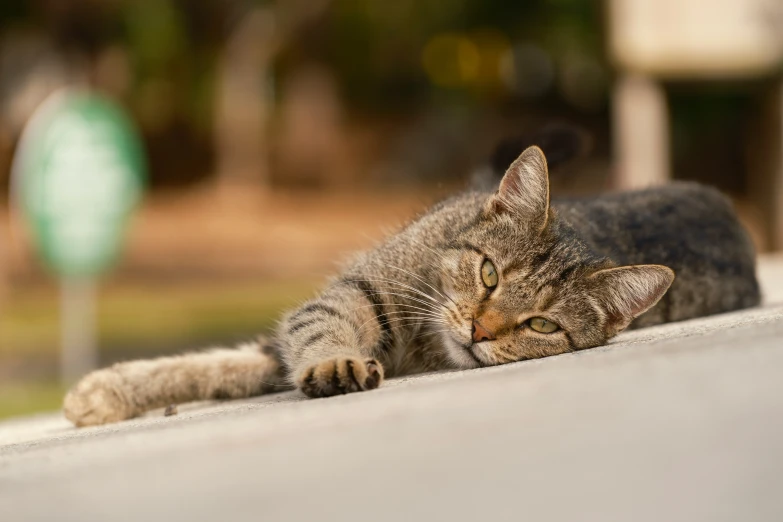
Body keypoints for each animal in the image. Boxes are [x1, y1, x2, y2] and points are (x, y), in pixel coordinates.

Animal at [64, 144, 764, 424]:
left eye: (541, 325)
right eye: (489, 273)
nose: (479, 330)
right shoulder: (340, 298)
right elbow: (212, 364)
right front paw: (106, 393)